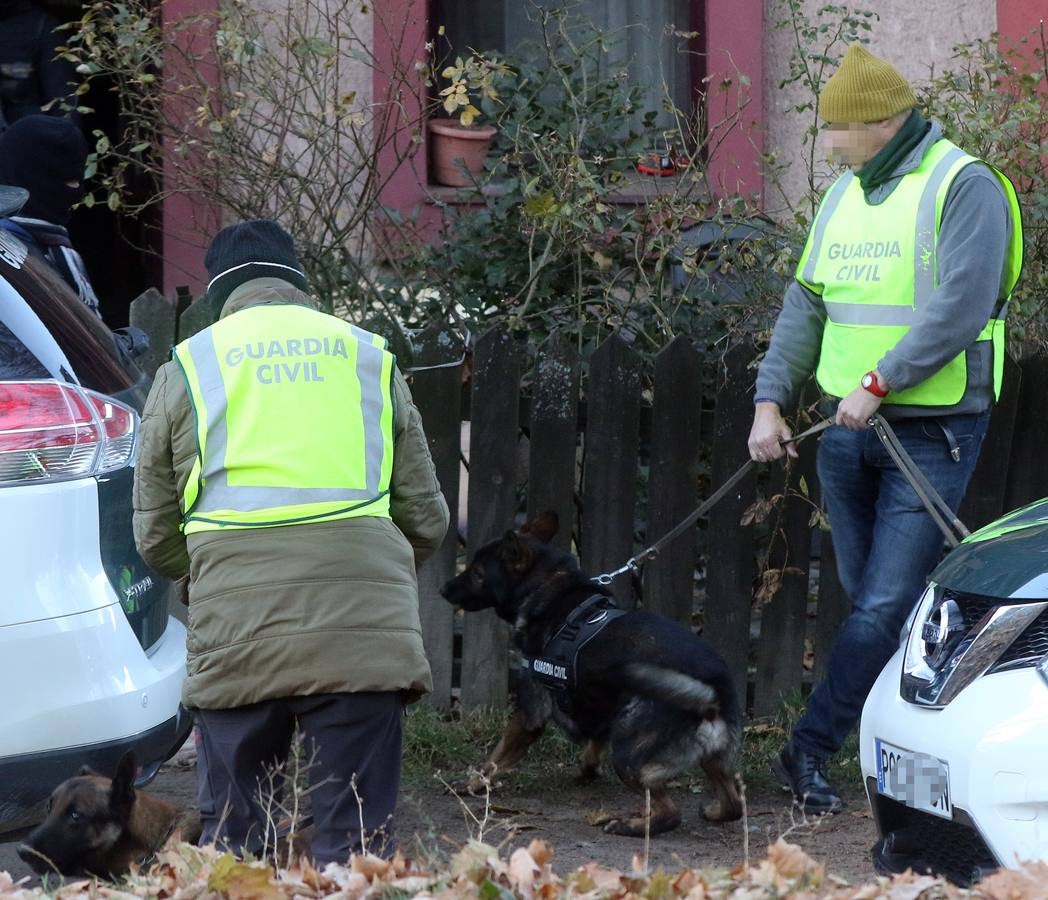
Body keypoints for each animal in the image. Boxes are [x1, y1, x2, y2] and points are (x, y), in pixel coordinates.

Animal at [442, 513, 746, 838]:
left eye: (477, 573)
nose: (444, 588)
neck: (545, 586)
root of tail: (714, 694)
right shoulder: (598, 705)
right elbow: (594, 740)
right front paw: (588, 769)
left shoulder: (529, 716)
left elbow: (494, 759)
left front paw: (470, 784)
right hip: (711, 759)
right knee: (734, 804)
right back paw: (713, 812)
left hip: (628, 755)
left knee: (671, 813)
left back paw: (630, 825)